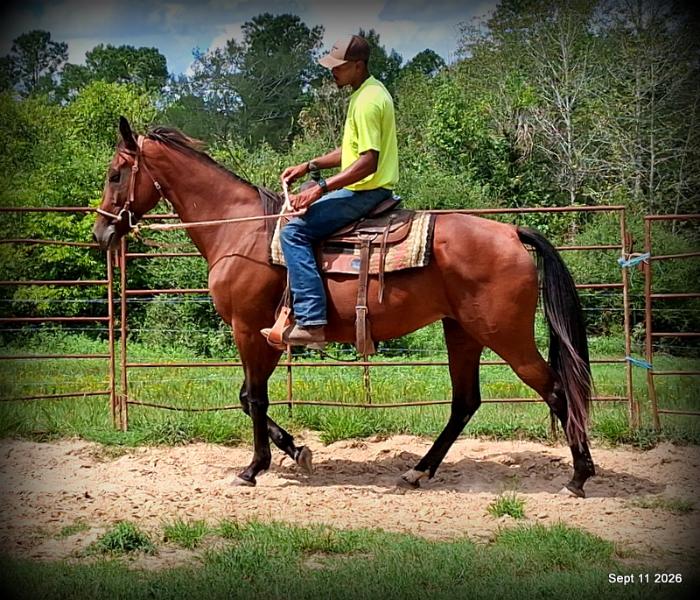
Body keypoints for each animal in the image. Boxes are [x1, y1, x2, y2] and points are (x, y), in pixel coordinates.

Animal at [93, 117, 596, 497]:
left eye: (116, 174)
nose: (101, 233)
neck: (240, 231)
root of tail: (511, 232)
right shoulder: (268, 337)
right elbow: (247, 398)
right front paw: (296, 451)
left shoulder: (248, 329)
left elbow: (254, 398)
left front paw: (253, 468)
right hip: (462, 332)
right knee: (465, 402)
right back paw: (418, 470)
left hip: (506, 335)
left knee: (556, 390)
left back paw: (578, 476)